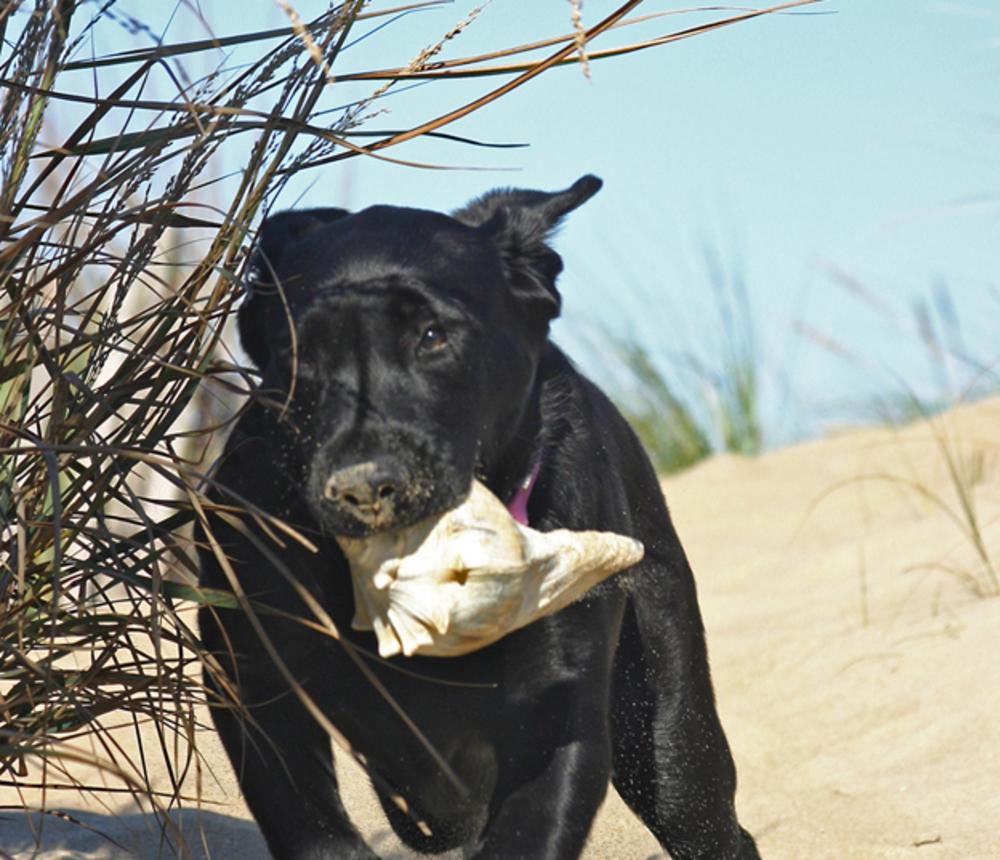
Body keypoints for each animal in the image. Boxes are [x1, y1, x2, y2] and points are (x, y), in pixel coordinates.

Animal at [199, 176, 760, 860]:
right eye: (297, 354)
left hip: (670, 739)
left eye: (433, 336)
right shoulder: (250, 673)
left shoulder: (559, 711)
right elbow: (311, 826)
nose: (363, 487)